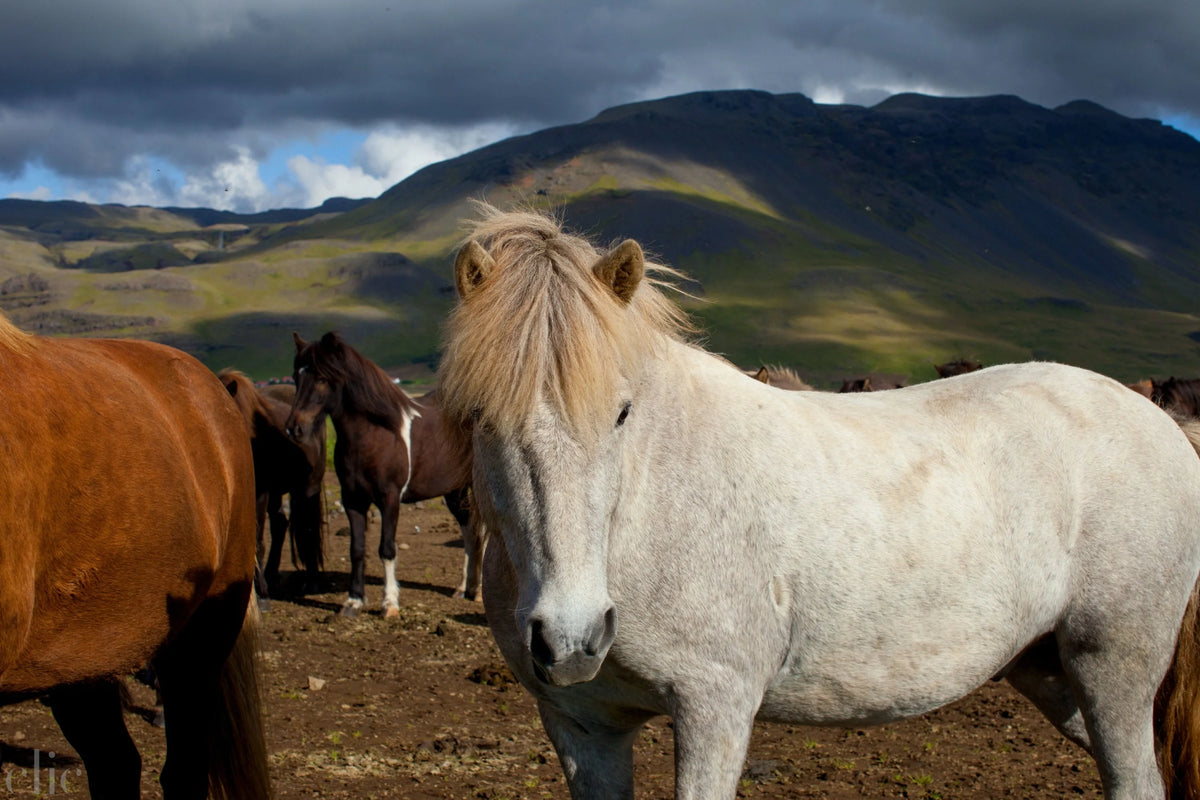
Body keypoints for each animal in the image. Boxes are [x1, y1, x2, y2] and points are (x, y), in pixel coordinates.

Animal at [219, 369, 326, 601]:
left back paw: (311, 580)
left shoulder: (260, 492)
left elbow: (257, 540)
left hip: (307, 487)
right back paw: (271, 574)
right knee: (280, 524)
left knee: (308, 527)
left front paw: (260, 591)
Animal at [284, 331, 483, 616]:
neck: (376, 434)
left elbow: (387, 549)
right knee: (469, 532)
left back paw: (478, 592)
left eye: (321, 378)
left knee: (483, 534)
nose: (294, 428)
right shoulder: (353, 500)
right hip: (454, 491)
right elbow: (357, 549)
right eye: (296, 376)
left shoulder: (389, 499)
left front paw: (389, 604)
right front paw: (353, 601)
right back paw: (463, 588)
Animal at [438, 205, 1200, 800]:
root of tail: (1165, 429)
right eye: (479, 417)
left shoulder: (715, 710)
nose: (572, 638)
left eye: (623, 413)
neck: (644, 516)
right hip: (1051, 673)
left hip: (1113, 665)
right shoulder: (583, 729)